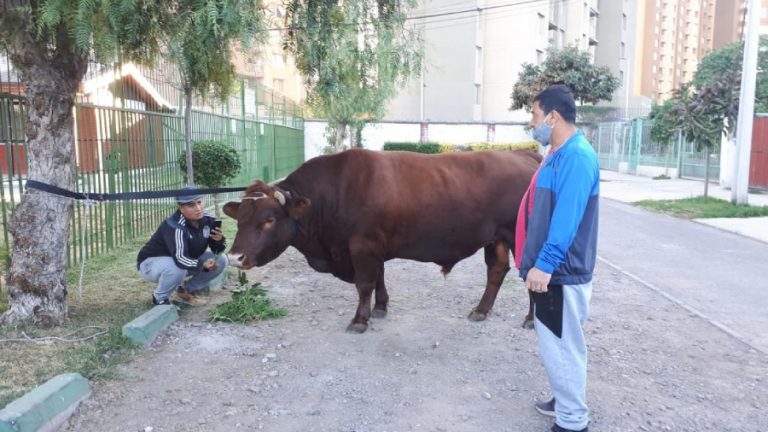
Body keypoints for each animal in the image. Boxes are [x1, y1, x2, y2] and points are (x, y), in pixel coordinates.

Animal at [222, 147, 540, 332]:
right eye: (240, 219)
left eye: (269, 219)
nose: (235, 257)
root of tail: (522, 153)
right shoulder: (373, 247)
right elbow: (379, 279)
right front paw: (380, 308)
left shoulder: (363, 246)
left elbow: (365, 283)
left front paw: (359, 319)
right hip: (495, 239)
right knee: (496, 271)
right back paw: (481, 310)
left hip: (520, 238)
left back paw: (530, 320)